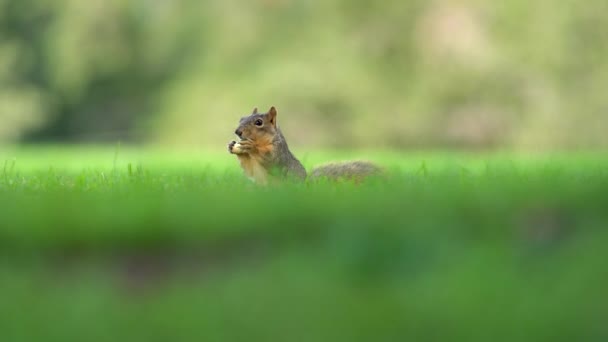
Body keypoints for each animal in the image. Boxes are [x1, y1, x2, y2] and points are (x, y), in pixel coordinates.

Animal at [228, 106, 380, 184]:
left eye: (259, 122)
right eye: (241, 118)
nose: (237, 131)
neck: (262, 142)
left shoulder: (279, 153)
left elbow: (271, 161)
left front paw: (251, 147)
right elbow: (249, 169)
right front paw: (232, 146)